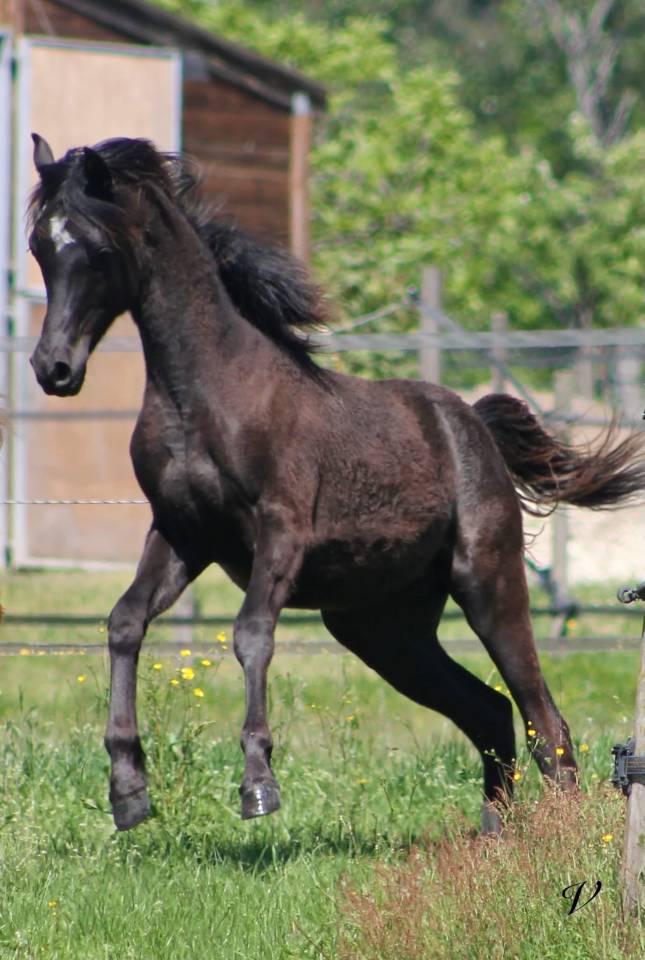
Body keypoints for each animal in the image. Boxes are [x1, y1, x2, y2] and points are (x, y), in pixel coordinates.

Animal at [27, 134, 645, 835]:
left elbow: (251, 634)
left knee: (546, 721)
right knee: (489, 711)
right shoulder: (182, 534)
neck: (204, 396)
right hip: (382, 629)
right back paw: (492, 838)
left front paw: (258, 786)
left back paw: (556, 836)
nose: (54, 368)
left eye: (96, 248)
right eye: (40, 246)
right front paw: (128, 790)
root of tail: (472, 424)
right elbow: (124, 622)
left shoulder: (281, 529)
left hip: (487, 582)